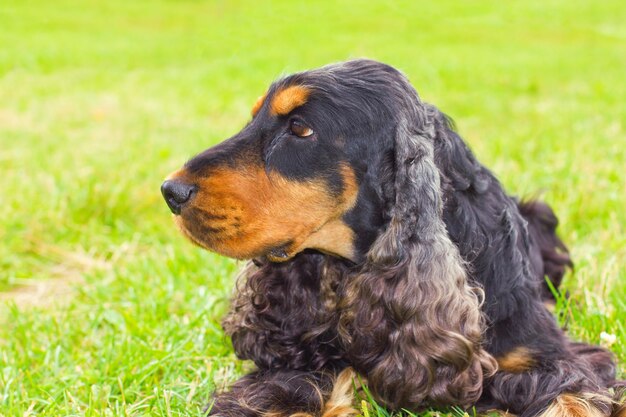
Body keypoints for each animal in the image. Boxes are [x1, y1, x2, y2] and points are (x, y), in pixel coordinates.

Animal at [160, 59, 620, 416]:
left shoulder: (549, 357)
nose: (170, 191)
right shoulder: (293, 366)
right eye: (253, 118)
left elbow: (571, 395)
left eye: (300, 129)